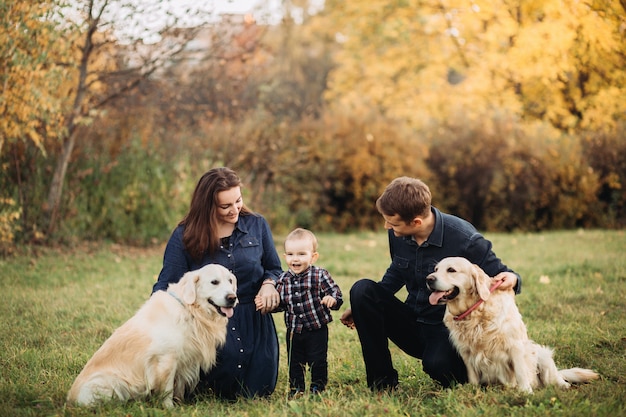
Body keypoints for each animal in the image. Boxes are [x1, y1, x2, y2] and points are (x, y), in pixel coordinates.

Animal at [66, 264, 236, 406]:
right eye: (214, 282)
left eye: (230, 281)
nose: (232, 298)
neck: (190, 310)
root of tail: (70, 399)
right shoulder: (166, 360)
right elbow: (167, 389)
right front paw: (170, 408)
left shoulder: (184, 361)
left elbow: (179, 387)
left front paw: (180, 405)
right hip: (110, 383)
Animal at [424, 255, 596, 392]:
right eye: (436, 269)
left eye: (451, 270)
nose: (429, 279)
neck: (475, 312)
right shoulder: (466, 352)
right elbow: (472, 374)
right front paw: (472, 390)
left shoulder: (515, 346)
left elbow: (520, 372)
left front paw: (525, 392)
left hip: (541, 354)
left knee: (554, 379)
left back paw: (562, 385)